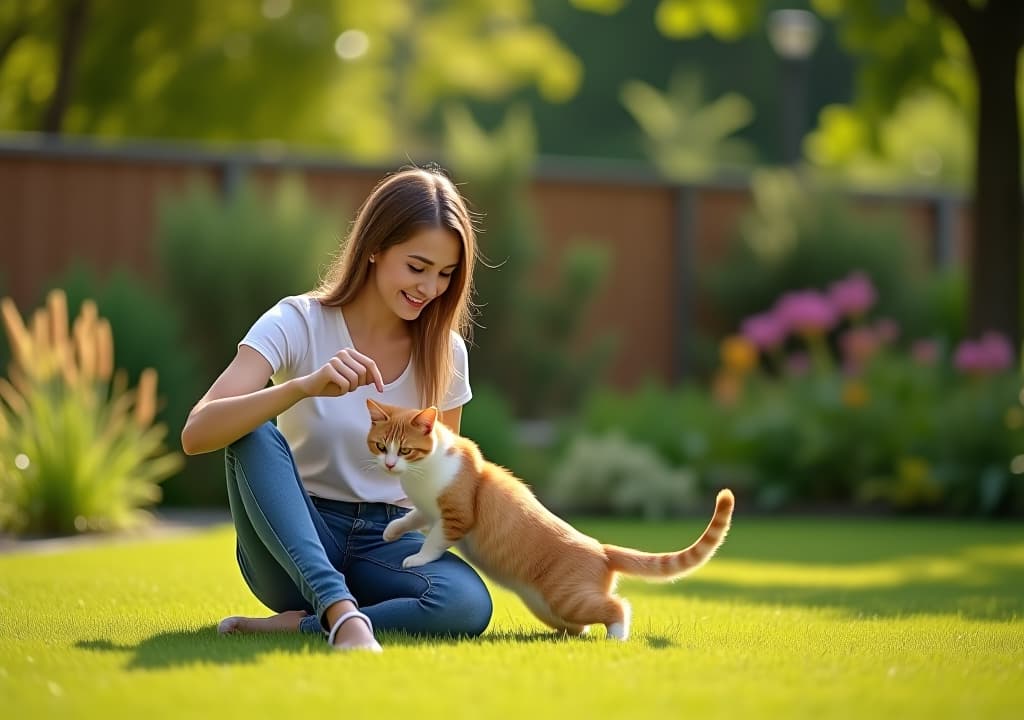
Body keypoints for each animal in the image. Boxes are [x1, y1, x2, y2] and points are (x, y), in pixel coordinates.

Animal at [364, 399, 733, 643]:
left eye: (406, 450)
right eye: (381, 446)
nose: (390, 465)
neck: (422, 473)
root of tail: (602, 549)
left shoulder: (456, 517)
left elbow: (434, 541)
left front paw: (417, 558)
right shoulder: (427, 511)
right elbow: (411, 518)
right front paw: (391, 531)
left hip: (569, 598)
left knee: (618, 607)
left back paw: (616, 638)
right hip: (553, 609)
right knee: (583, 623)